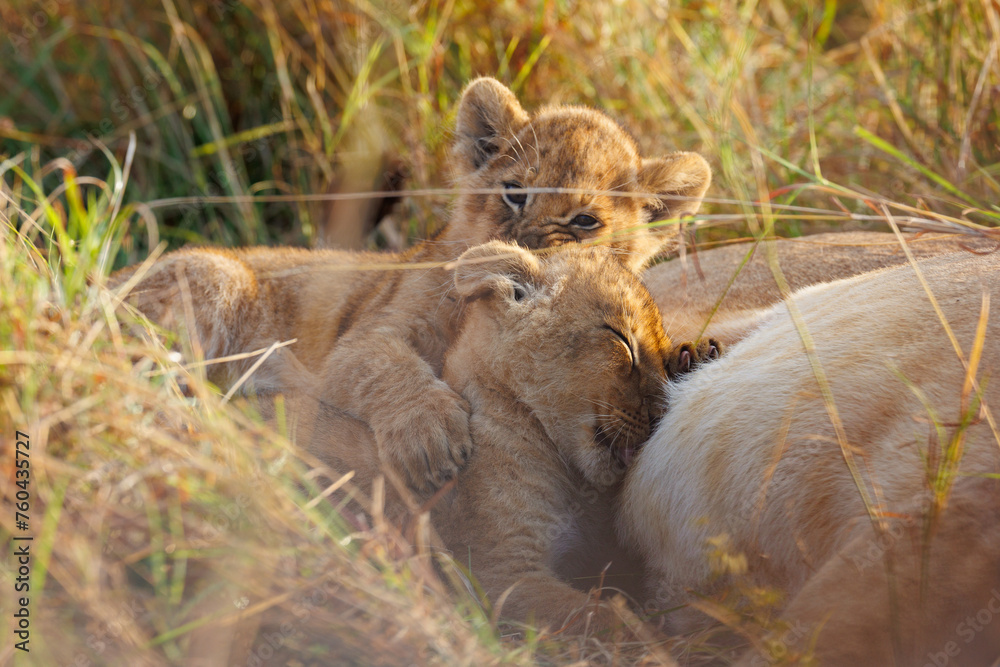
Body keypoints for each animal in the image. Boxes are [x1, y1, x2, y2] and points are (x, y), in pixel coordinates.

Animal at [109, 77, 712, 493]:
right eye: (514, 192)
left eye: (585, 221)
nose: (524, 244)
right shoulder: (360, 340)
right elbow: (388, 367)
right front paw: (430, 438)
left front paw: (688, 357)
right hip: (219, 274)